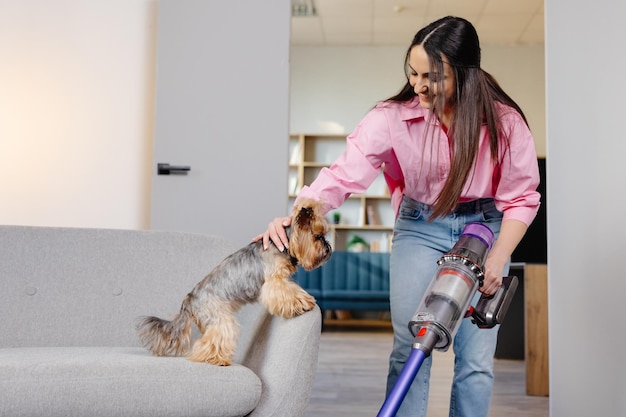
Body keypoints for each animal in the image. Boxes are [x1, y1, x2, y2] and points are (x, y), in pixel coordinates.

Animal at [136, 198, 332, 364]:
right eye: (318, 236)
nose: (329, 248)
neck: (283, 244)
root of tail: (188, 302)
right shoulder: (274, 280)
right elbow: (288, 292)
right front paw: (304, 301)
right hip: (219, 317)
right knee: (211, 342)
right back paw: (215, 359)